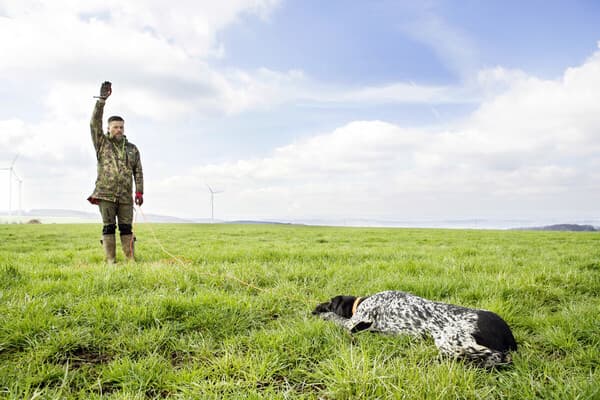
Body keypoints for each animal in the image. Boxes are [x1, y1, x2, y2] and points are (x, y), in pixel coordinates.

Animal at [314, 290, 516, 368]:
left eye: (329, 302)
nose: (314, 308)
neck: (363, 301)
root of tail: (507, 334)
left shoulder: (353, 322)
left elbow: (335, 318)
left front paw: (322, 315)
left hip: (451, 342)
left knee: (498, 357)